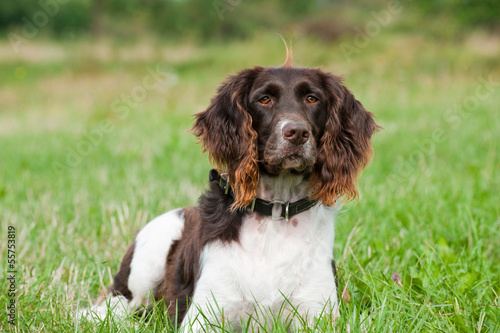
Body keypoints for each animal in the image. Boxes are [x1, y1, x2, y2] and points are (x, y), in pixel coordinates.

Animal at [91, 57, 378, 330]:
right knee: (113, 307)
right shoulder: (204, 315)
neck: (275, 214)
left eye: (312, 98)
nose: (297, 133)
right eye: (264, 99)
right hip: (148, 258)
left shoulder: (317, 312)